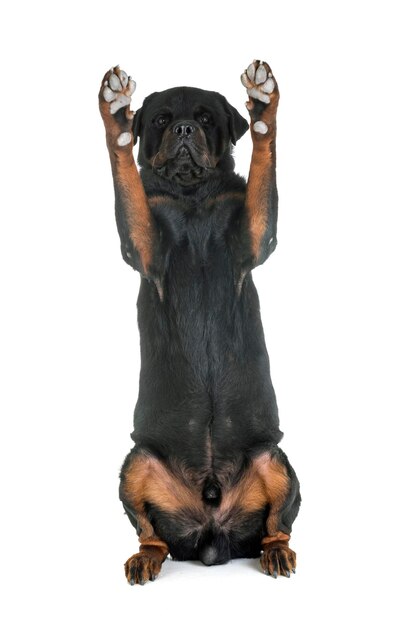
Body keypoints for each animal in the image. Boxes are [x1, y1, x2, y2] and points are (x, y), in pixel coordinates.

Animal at [98, 61, 300, 584]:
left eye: (207, 119)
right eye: (162, 120)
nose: (186, 129)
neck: (191, 199)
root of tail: (212, 534)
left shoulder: (255, 237)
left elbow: (263, 166)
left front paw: (264, 108)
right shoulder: (143, 247)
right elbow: (126, 177)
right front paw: (115, 118)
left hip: (275, 459)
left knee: (278, 524)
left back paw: (277, 552)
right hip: (136, 463)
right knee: (152, 533)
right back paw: (145, 558)